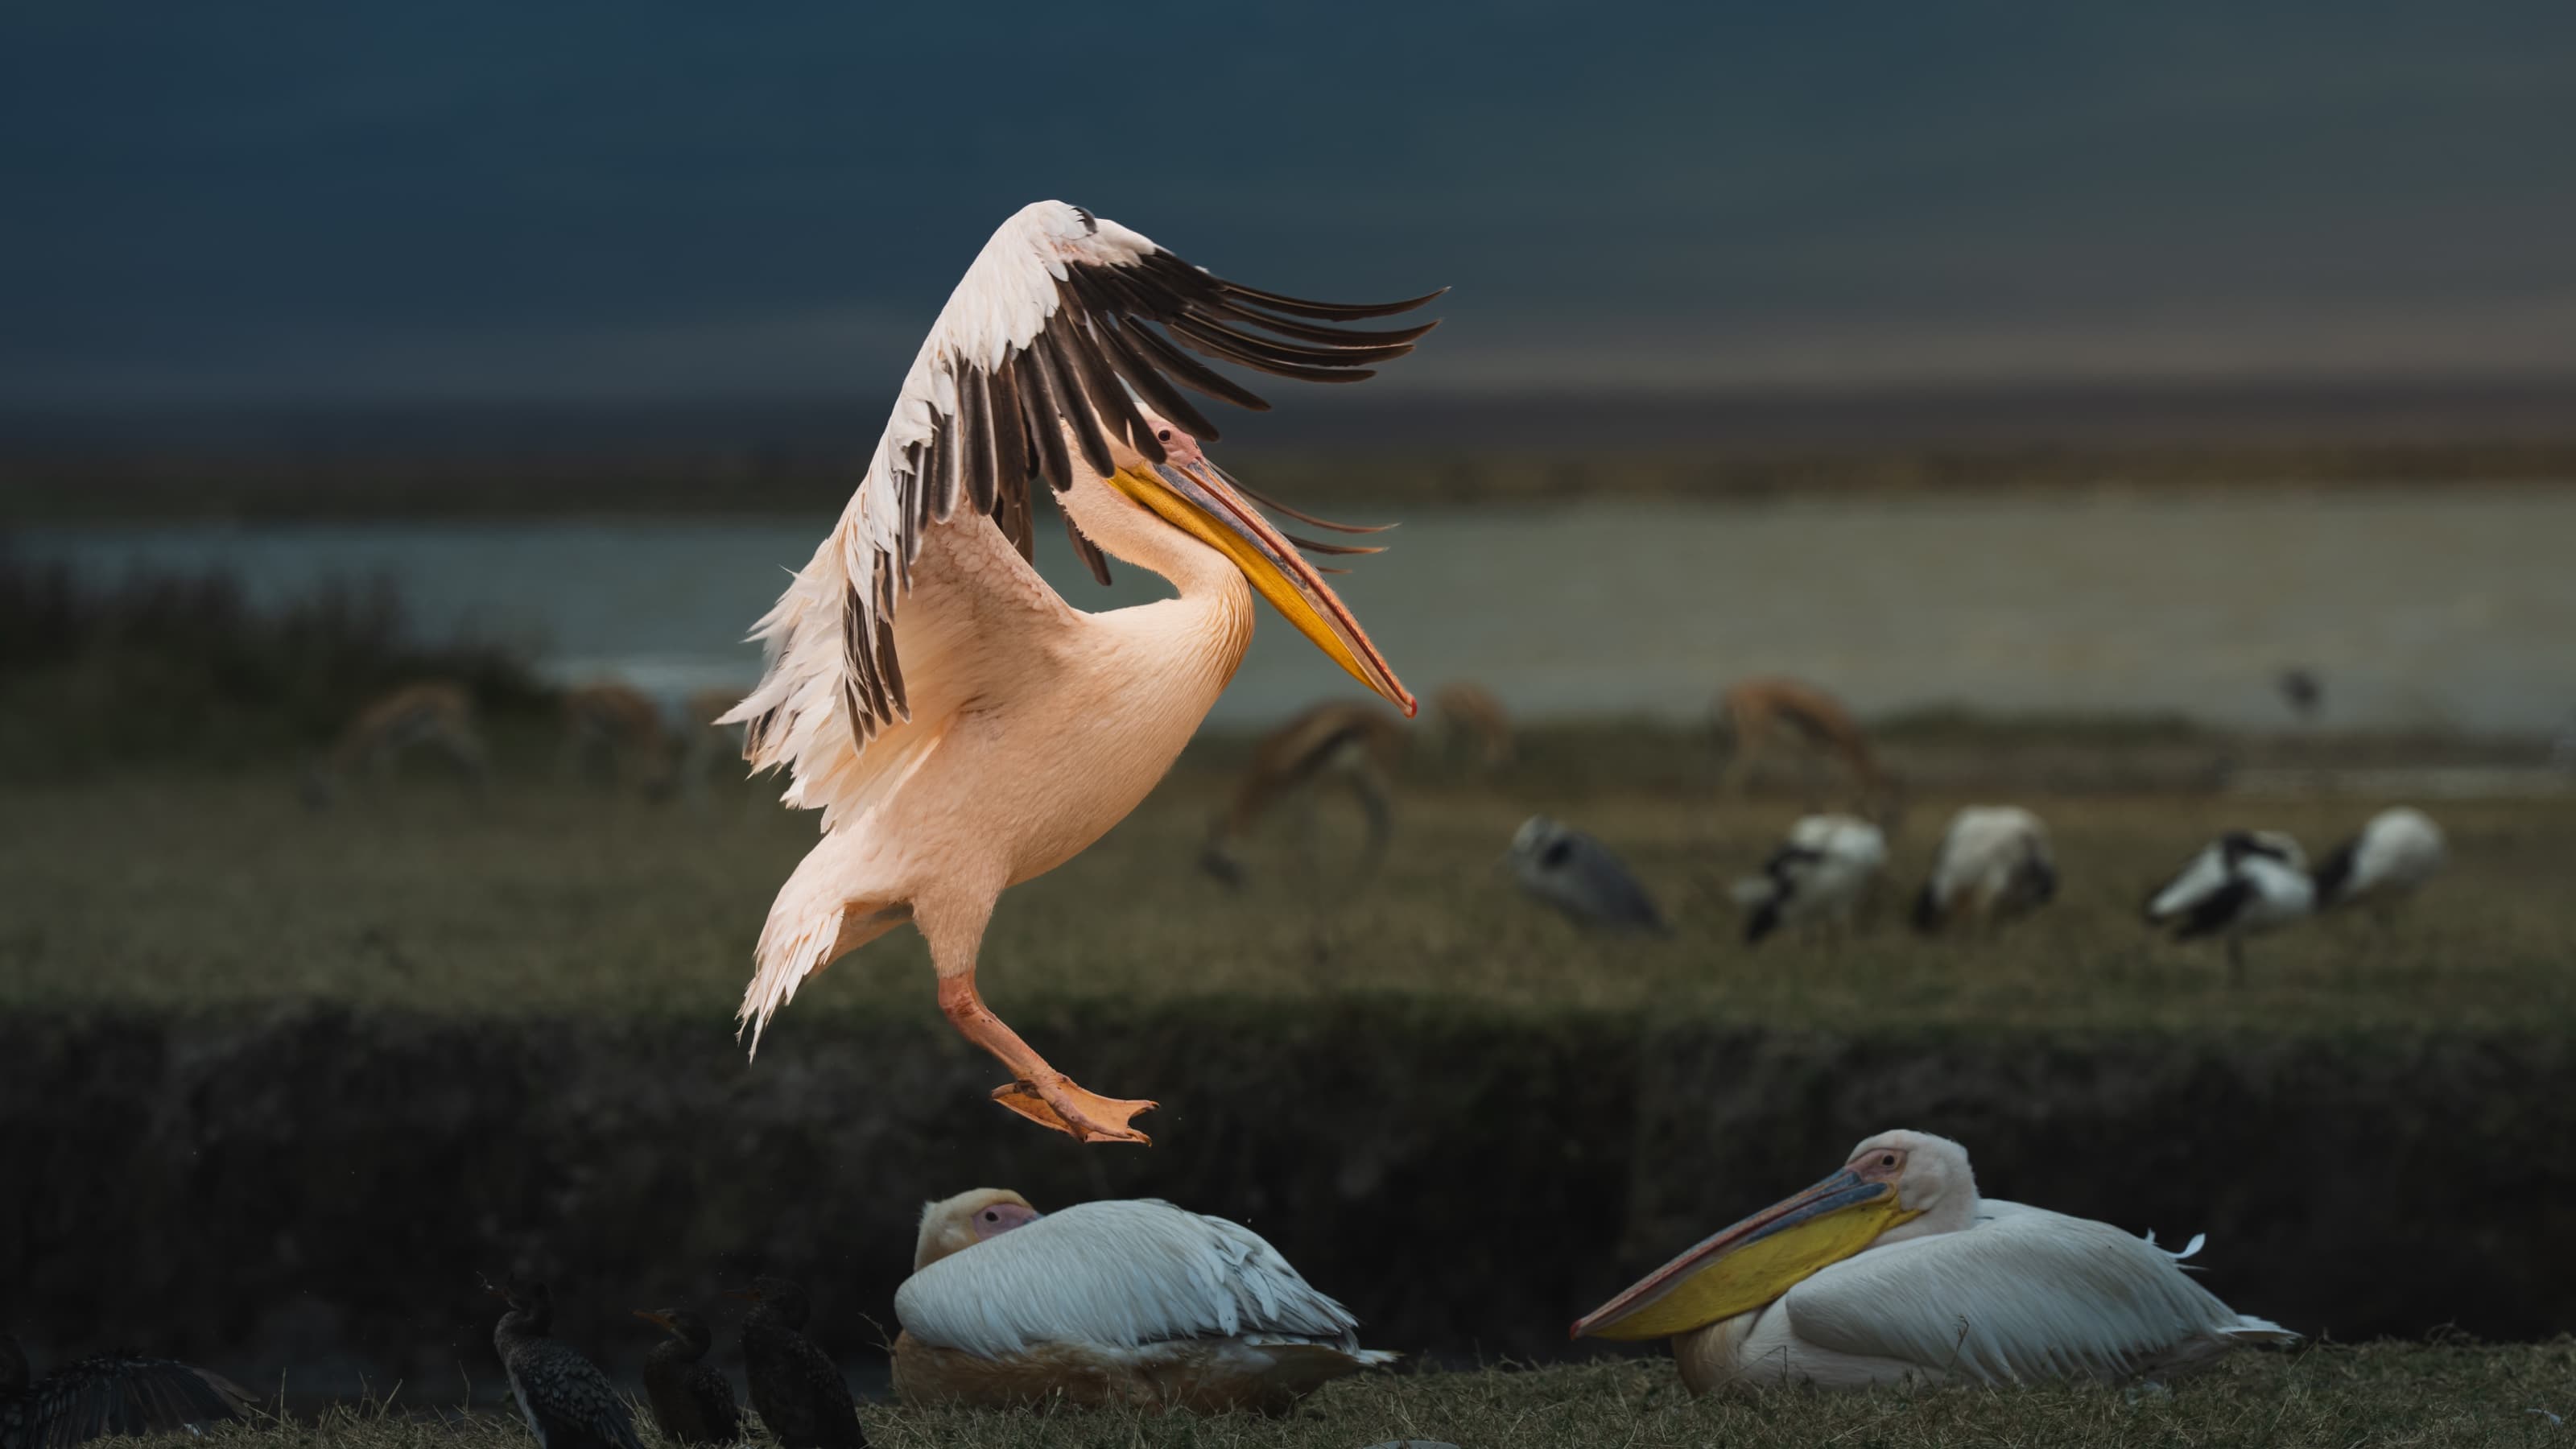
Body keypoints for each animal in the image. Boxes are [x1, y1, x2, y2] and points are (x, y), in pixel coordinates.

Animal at [301, 680, 489, 808]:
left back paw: (480, 796)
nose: (311, 809)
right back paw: (468, 793)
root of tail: (463, 696)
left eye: (313, 785)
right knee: (465, 758)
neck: (363, 727)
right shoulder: (389, 749)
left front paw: (380, 806)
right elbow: (382, 773)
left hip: (452, 733)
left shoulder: (381, 747)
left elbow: (379, 775)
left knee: (478, 751)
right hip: (447, 738)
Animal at [1200, 701, 1407, 887]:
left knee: (1385, 823)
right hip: (1359, 779)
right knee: (1376, 820)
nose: (1239, 886)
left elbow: (1305, 840)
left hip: (1377, 779)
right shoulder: (1294, 792)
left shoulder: (1299, 790)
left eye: (1216, 862)